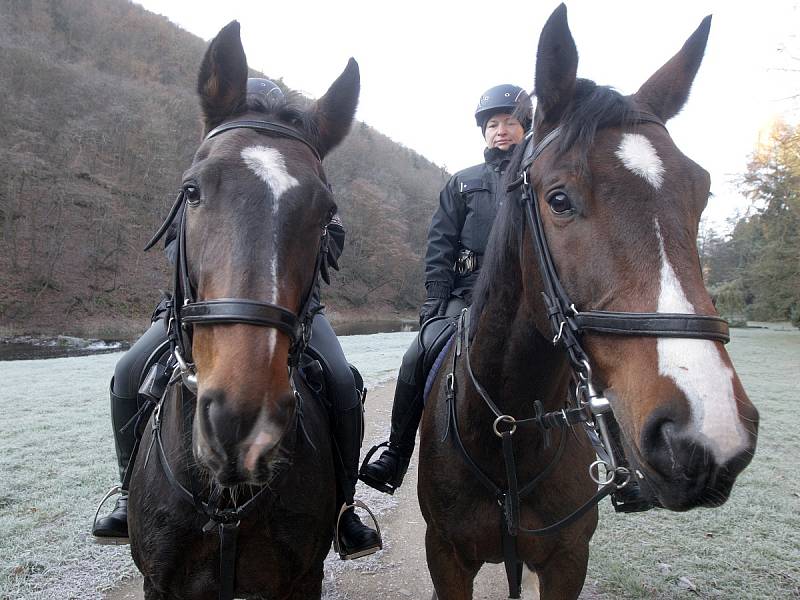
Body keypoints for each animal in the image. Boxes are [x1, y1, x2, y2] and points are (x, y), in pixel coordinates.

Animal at [126, 21, 360, 596]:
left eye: (327, 214)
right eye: (191, 191)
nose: (240, 423)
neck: (224, 502)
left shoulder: (302, 578)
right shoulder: (159, 581)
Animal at [416, 5, 760, 600]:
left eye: (702, 192)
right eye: (558, 199)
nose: (710, 431)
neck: (508, 430)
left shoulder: (566, 559)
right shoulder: (446, 558)